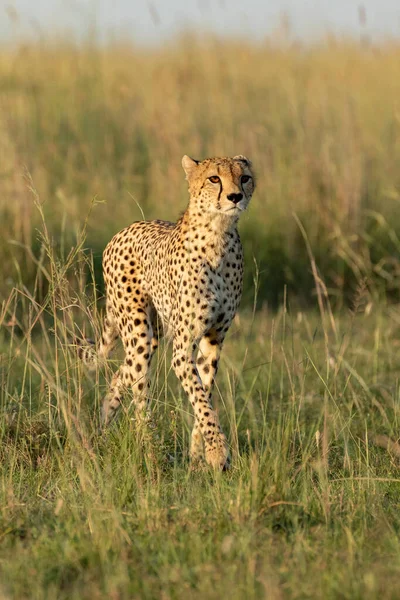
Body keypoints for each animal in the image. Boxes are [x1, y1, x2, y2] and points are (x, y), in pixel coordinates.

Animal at [79, 154, 255, 468]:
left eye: (244, 177)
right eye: (214, 178)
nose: (235, 196)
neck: (218, 234)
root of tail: (124, 230)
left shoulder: (214, 339)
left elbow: (204, 394)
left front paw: (199, 457)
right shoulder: (183, 348)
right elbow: (201, 399)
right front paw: (217, 451)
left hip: (155, 332)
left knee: (120, 373)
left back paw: (105, 421)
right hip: (139, 333)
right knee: (139, 394)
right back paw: (148, 450)